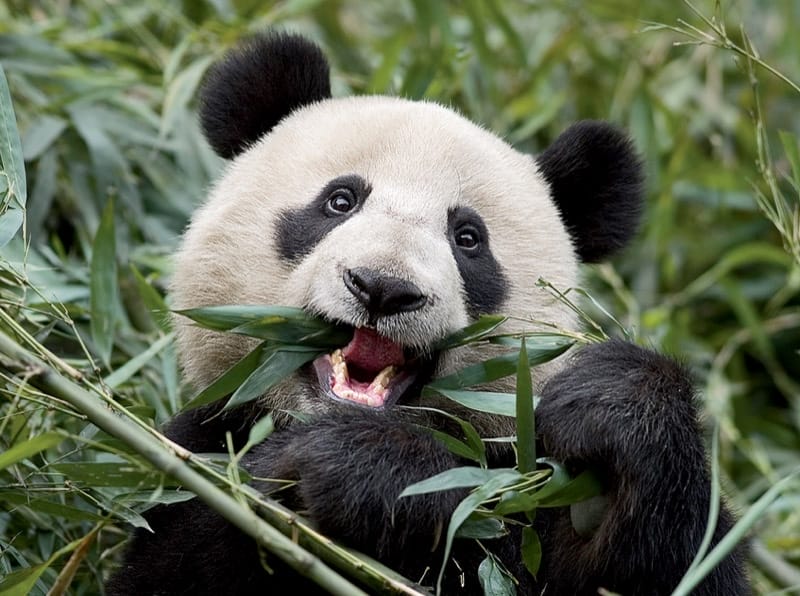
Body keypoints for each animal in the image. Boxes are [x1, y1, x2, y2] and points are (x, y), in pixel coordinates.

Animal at [107, 32, 748, 595]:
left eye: (468, 239)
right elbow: (185, 548)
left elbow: (673, 564)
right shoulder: (198, 448)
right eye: (340, 200)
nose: (383, 288)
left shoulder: (522, 498)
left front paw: (610, 406)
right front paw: (354, 470)